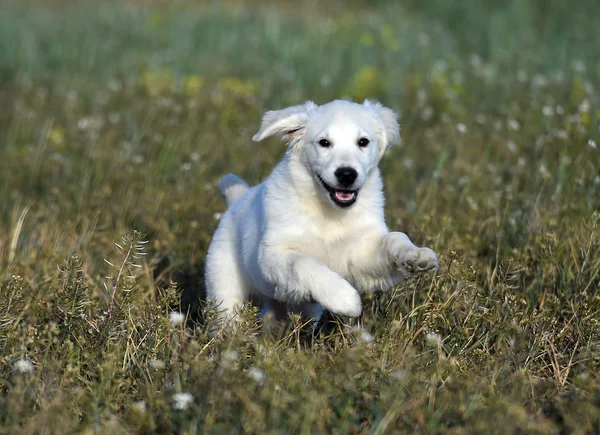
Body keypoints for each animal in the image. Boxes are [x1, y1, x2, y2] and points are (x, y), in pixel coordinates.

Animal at [205, 99, 436, 334]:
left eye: (363, 142)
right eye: (324, 142)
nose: (346, 174)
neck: (328, 211)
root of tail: (237, 199)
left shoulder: (361, 254)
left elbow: (395, 238)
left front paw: (414, 255)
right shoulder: (272, 254)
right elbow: (303, 263)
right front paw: (344, 298)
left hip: (295, 306)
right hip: (225, 286)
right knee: (227, 317)